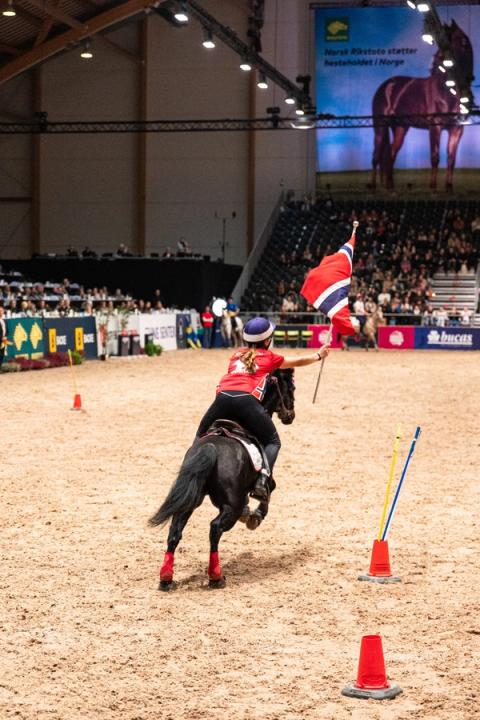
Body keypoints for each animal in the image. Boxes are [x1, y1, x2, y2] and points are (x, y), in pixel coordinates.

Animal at [148, 369, 296, 591]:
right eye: (292, 388)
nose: (290, 415)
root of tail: (210, 448)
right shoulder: (264, 484)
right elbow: (266, 495)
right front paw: (254, 516)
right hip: (230, 507)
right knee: (215, 528)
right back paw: (216, 577)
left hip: (192, 500)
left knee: (175, 531)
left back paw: (166, 579)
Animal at [371, 20, 474, 192]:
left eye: (451, 41)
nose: (436, 62)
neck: (448, 91)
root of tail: (386, 86)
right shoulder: (435, 127)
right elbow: (435, 157)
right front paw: (433, 187)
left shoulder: (457, 129)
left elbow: (451, 158)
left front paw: (449, 186)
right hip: (380, 126)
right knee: (377, 156)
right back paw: (373, 186)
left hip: (400, 128)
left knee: (390, 153)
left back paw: (390, 186)